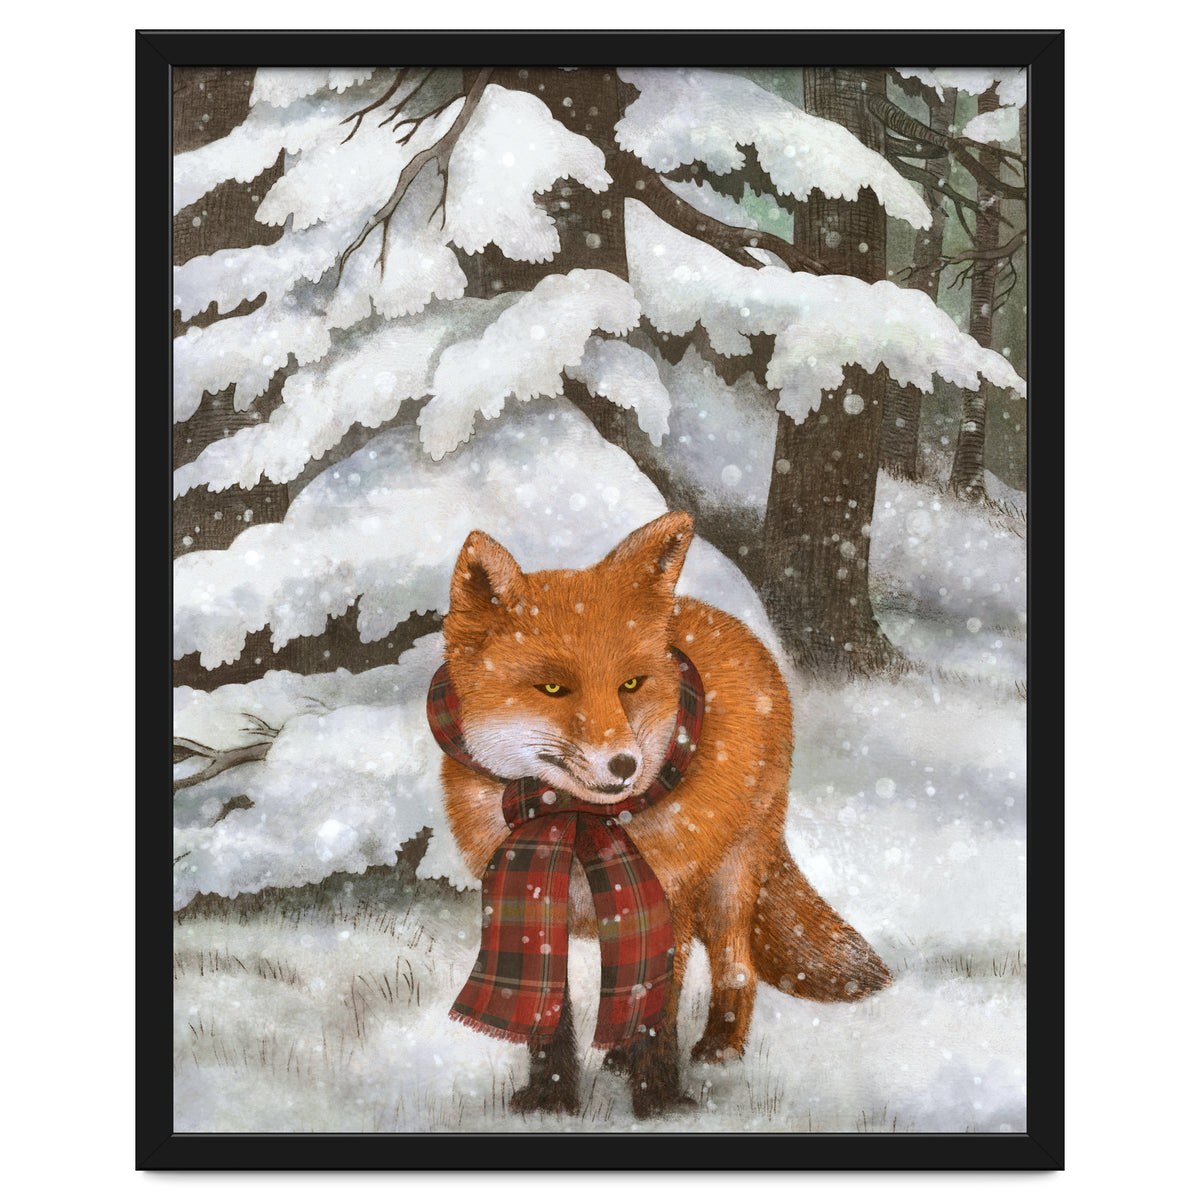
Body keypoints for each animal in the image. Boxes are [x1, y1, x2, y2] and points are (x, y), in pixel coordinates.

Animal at [435, 510, 890, 1118]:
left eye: (631, 684)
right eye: (553, 688)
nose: (625, 765)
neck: (573, 820)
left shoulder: (665, 898)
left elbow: (657, 1012)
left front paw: (659, 1103)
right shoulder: (535, 899)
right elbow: (550, 1013)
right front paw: (549, 1100)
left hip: (728, 881)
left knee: (736, 966)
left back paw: (719, 1048)